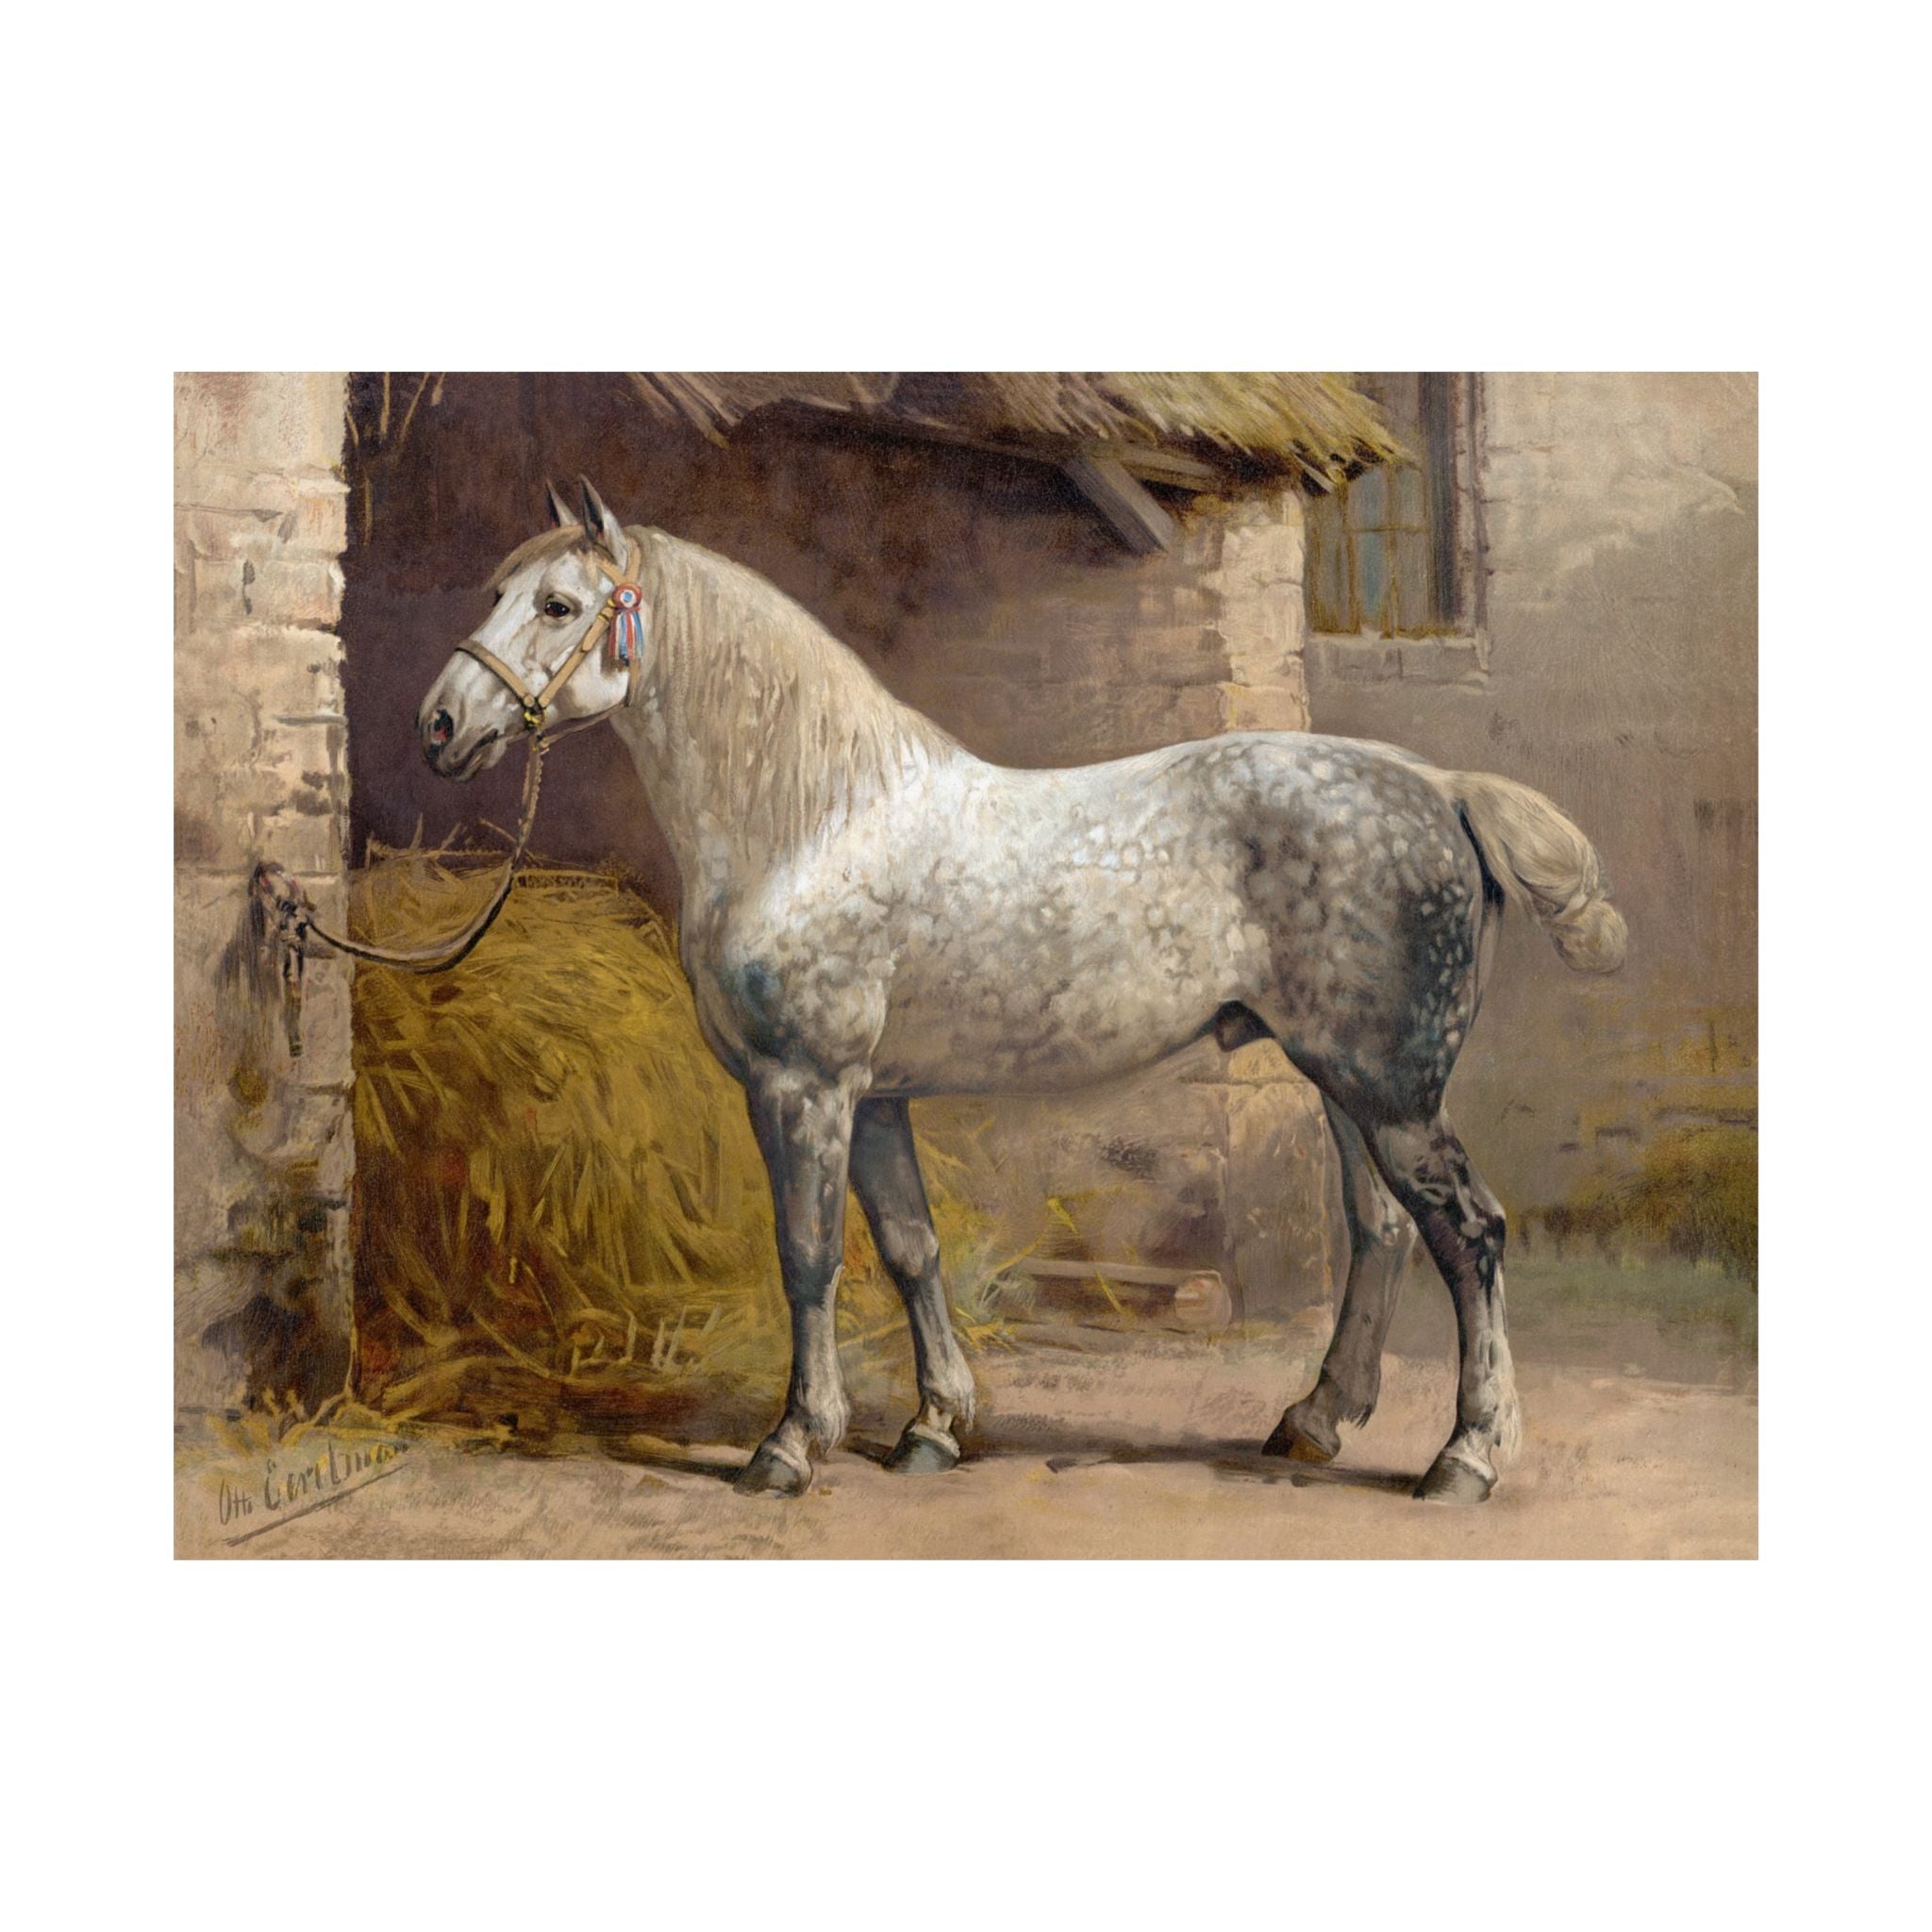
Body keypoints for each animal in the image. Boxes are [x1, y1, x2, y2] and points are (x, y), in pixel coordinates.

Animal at [416, 479, 1627, 1505]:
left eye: (558, 604)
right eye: (494, 594)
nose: (440, 725)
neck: (814, 819)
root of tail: (1438, 785)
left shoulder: (802, 1085)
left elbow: (807, 1254)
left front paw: (791, 1443)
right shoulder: (874, 1094)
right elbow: (909, 1246)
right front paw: (934, 1425)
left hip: (1390, 1088)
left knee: (1467, 1232)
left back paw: (1465, 1456)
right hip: (1342, 1077)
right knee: (1379, 1228)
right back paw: (1313, 1421)